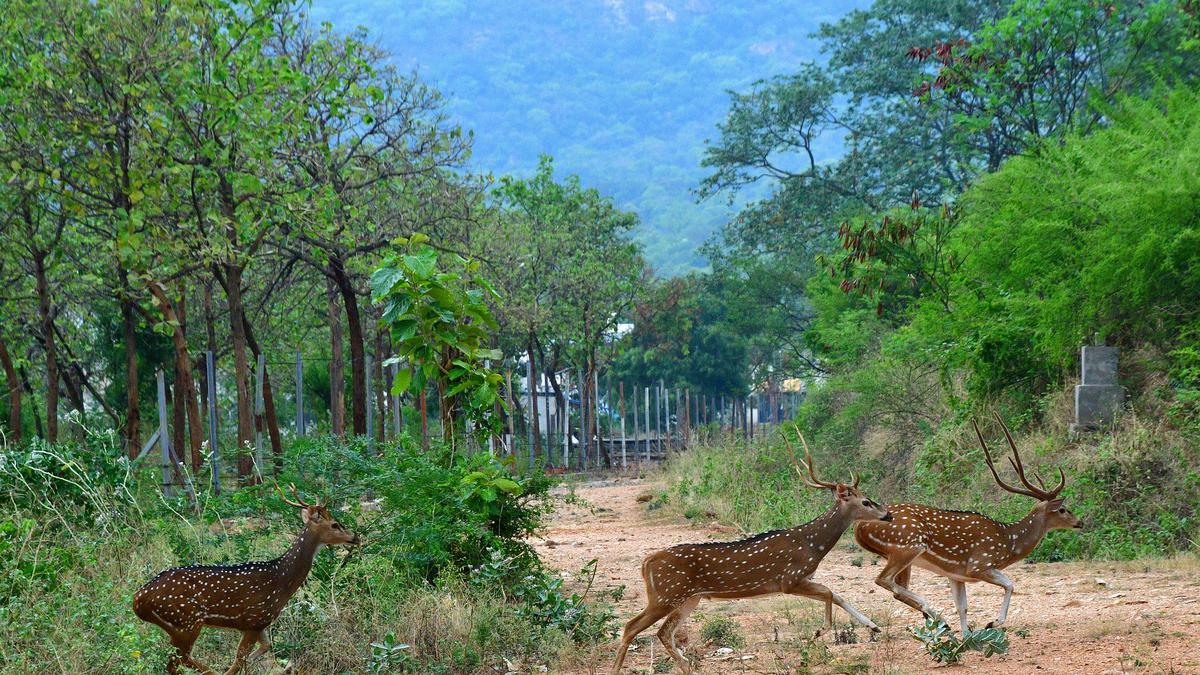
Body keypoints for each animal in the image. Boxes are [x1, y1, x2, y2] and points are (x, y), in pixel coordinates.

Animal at [132, 480, 357, 667]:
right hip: (187, 620)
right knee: (178, 660)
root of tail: (137, 599)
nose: (355, 536)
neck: (281, 582)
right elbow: (239, 660)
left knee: (176, 661)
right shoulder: (254, 618)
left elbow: (263, 648)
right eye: (335, 524)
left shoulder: (260, 624)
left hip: (177, 626)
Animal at [619, 441, 892, 672]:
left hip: (688, 599)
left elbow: (835, 594)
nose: (887, 514)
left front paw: (873, 625)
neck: (813, 545)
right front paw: (820, 631)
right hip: (666, 595)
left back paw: (686, 666)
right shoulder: (789, 579)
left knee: (663, 632)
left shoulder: (800, 579)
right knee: (632, 626)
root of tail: (646, 563)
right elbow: (828, 592)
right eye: (866, 502)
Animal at [859, 413, 1084, 634]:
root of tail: (859, 527)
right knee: (884, 580)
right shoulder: (979, 564)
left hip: (900, 554)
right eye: (1063, 509)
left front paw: (967, 636)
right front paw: (992, 622)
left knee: (897, 587)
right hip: (908, 546)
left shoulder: (956, 574)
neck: (1009, 542)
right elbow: (1010, 584)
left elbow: (962, 606)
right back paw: (935, 616)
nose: (1080, 522)